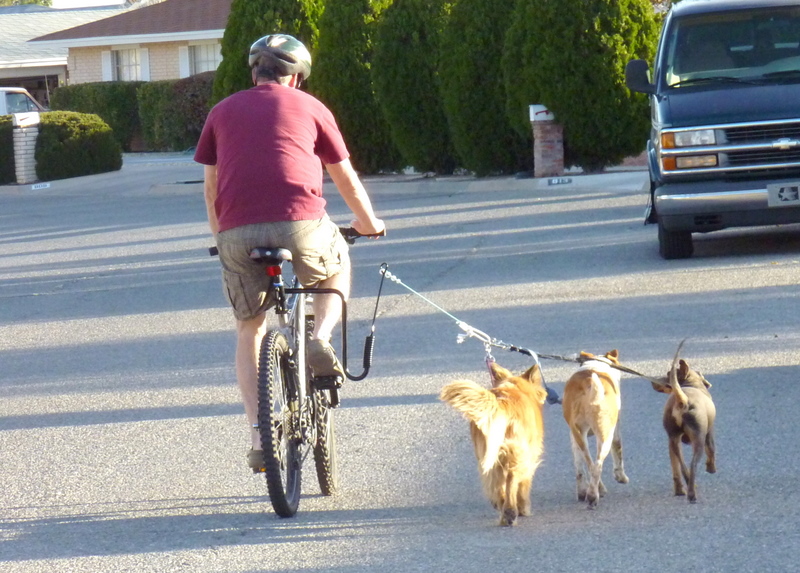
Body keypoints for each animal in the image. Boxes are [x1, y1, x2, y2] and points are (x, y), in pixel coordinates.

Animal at [438, 364, 552, 524]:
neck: (515, 387)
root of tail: (502, 403)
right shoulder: (529, 456)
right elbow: (523, 485)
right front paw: (524, 508)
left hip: (489, 456)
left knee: (497, 485)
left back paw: (502, 507)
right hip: (516, 454)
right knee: (511, 480)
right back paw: (510, 512)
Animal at [560, 350, 628, 508]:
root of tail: (589, 385)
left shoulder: (573, 436)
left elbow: (579, 466)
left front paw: (582, 492)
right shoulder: (615, 429)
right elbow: (618, 449)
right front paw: (621, 477)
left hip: (579, 434)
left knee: (589, 465)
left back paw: (590, 492)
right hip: (605, 435)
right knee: (597, 466)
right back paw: (593, 496)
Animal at [652, 340, 716, 500]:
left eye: (668, 374)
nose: (652, 382)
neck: (691, 384)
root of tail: (683, 400)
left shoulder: (671, 442)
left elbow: (675, 467)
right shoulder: (710, 433)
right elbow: (712, 450)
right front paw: (711, 468)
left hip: (674, 439)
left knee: (681, 467)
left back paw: (683, 489)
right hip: (698, 439)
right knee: (693, 465)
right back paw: (692, 494)